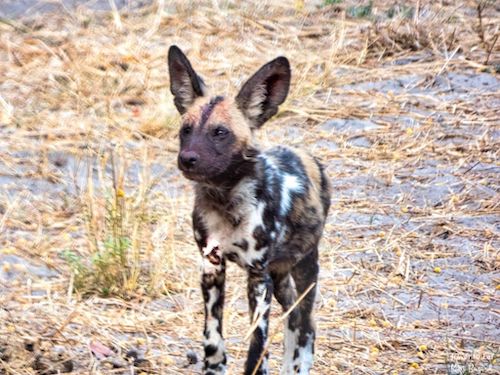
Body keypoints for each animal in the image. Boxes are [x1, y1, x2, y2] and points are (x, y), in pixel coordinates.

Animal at [169, 45, 332, 374]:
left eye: (220, 132)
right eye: (186, 130)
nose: (187, 159)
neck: (225, 198)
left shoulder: (258, 277)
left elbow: (258, 345)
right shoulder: (212, 267)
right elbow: (213, 338)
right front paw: (214, 366)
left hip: (304, 267)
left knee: (306, 325)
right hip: (280, 275)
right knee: (294, 319)